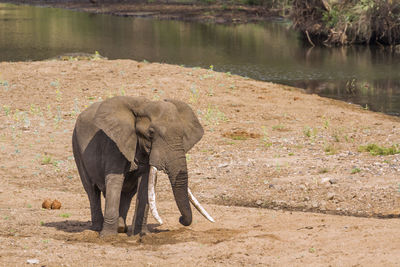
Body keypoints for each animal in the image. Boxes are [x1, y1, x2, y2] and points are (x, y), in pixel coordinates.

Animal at [73, 96, 214, 237]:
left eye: (183, 134)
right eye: (151, 133)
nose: (180, 219)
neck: (141, 105)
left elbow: (145, 183)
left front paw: (142, 235)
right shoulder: (114, 143)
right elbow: (115, 180)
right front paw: (108, 237)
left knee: (127, 192)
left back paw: (121, 228)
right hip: (77, 147)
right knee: (92, 190)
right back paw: (97, 228)